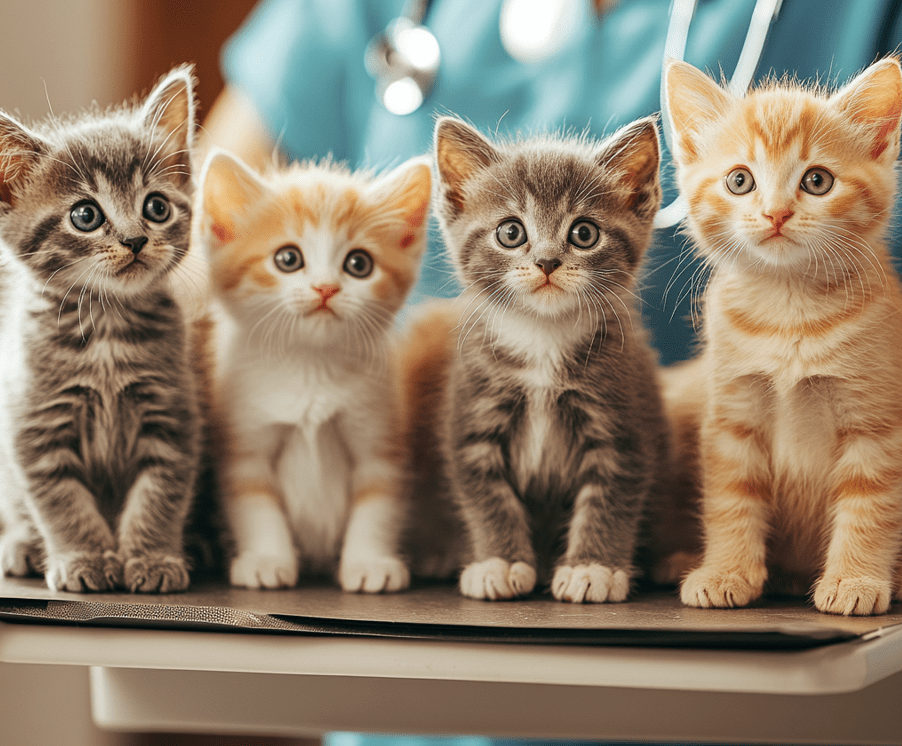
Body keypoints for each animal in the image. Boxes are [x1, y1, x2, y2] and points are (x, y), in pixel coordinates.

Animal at [0, 68, 200, 592]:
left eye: (156, 207)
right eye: (85, 215)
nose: (135, 240)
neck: (107, 327)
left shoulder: (171, 416)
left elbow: (159, 494)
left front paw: (152, 558)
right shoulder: (36, 424)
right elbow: (62, 503)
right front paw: (84, 558)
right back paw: (22, 546)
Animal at [198, 150, 430, 592]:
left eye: (359, 263)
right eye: (288, 259)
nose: (326, 288)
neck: (311, 367)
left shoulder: (380, 438)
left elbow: (378, 506)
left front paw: (369, 563)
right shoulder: (244, 441)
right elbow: (255, 505)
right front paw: (267, 560)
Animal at [434, 117, 676, 604]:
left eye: (584, 233)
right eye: (511, 232)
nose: (547, 261)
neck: (543, 340)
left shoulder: (621, 423)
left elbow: (611, 498)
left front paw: (592, 568)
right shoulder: (473, 420)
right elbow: (487, 497)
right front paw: (500, 562)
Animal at [668, 58, 902, 612]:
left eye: (817, 180)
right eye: (739, 180)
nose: (776, 213)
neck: (789, 315)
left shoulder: (876, 423)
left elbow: (870, 504)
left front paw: (856, 580)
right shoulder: (732, 416)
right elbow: (730, 499)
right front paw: (726, 571)